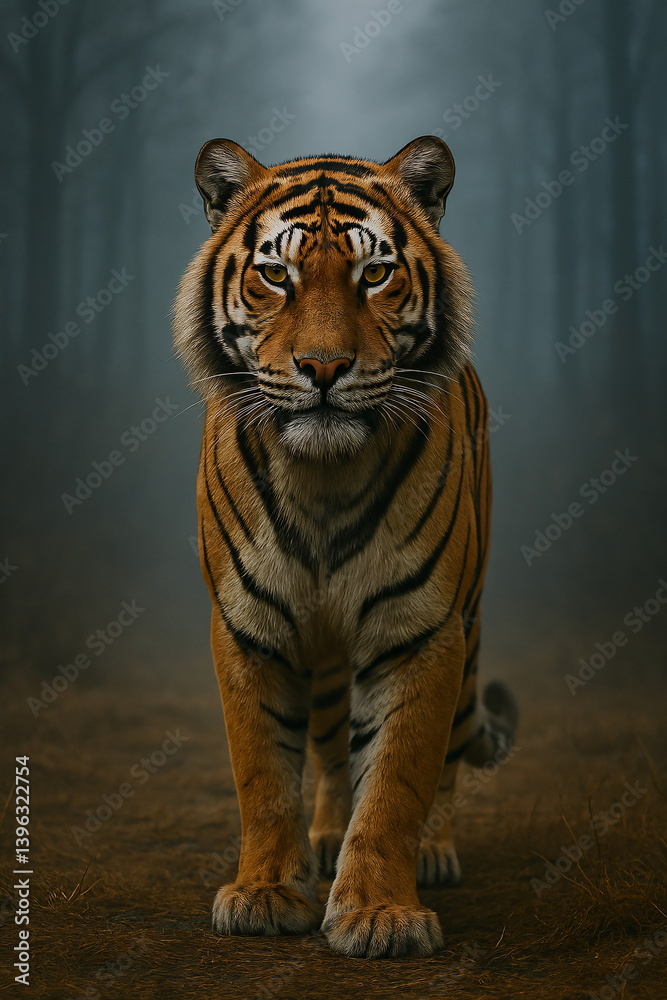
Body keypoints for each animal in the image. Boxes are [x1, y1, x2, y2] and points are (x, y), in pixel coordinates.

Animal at [173, 135, 518, 959]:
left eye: (375, 274)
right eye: (275, 275)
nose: (324, 368)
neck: (322, 480)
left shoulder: (420, 631)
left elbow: (396, 778)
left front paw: (379, 913)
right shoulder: (248, 628)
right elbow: (264, 775)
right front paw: (266, 894)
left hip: (466, 630)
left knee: (441, 761)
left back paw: (433, 853)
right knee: (330, 750)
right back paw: (327, 837)